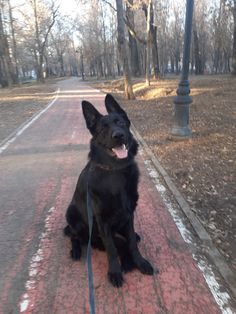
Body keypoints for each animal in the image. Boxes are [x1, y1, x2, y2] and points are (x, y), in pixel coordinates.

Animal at [64, 93, 153, 288]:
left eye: (120, 123)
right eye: (103, 129)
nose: (118, 135)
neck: (115, 170)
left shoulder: (128, 214)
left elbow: (131, 243)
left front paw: (139, 262)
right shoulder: (103, 222)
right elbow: (112, 248)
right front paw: (115, 272)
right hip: (72, 213)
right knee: (74, 236)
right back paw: (76, 250)